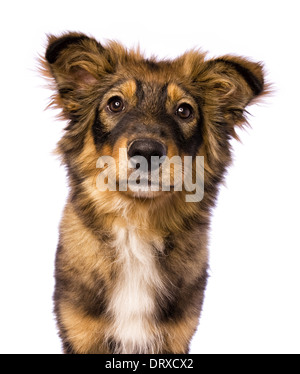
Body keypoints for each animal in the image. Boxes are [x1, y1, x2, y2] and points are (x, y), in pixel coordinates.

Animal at [42, 32, 268, 354]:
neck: (137, 226)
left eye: (184, 110)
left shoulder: (176, 336)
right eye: (115, 104)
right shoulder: (81, 332)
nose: (147, 152)